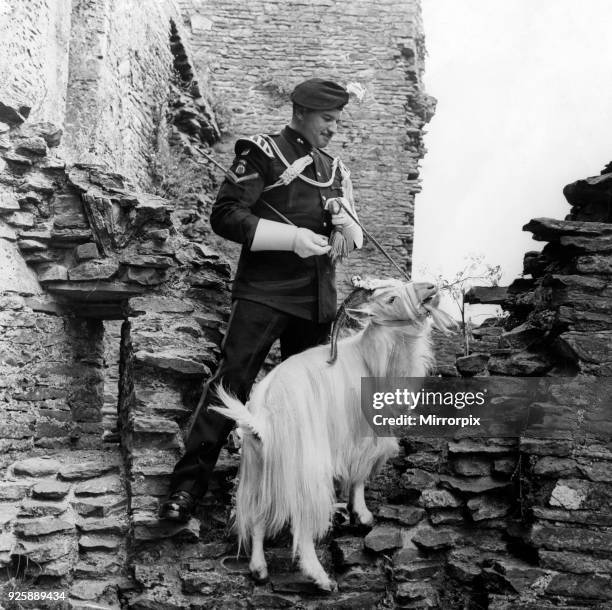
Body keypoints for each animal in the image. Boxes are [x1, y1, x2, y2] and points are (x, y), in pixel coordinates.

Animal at [210, 278, 454, 588]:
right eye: (390, 299)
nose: (430, 288)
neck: (369, 358)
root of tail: (263, 418)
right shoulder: (362, 435)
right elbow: (359, 475)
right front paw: (362, 515)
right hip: (305, 470)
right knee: (302, 526)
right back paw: (321, 579)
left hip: (259, 471)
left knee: (257, 517)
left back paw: (259, 568)